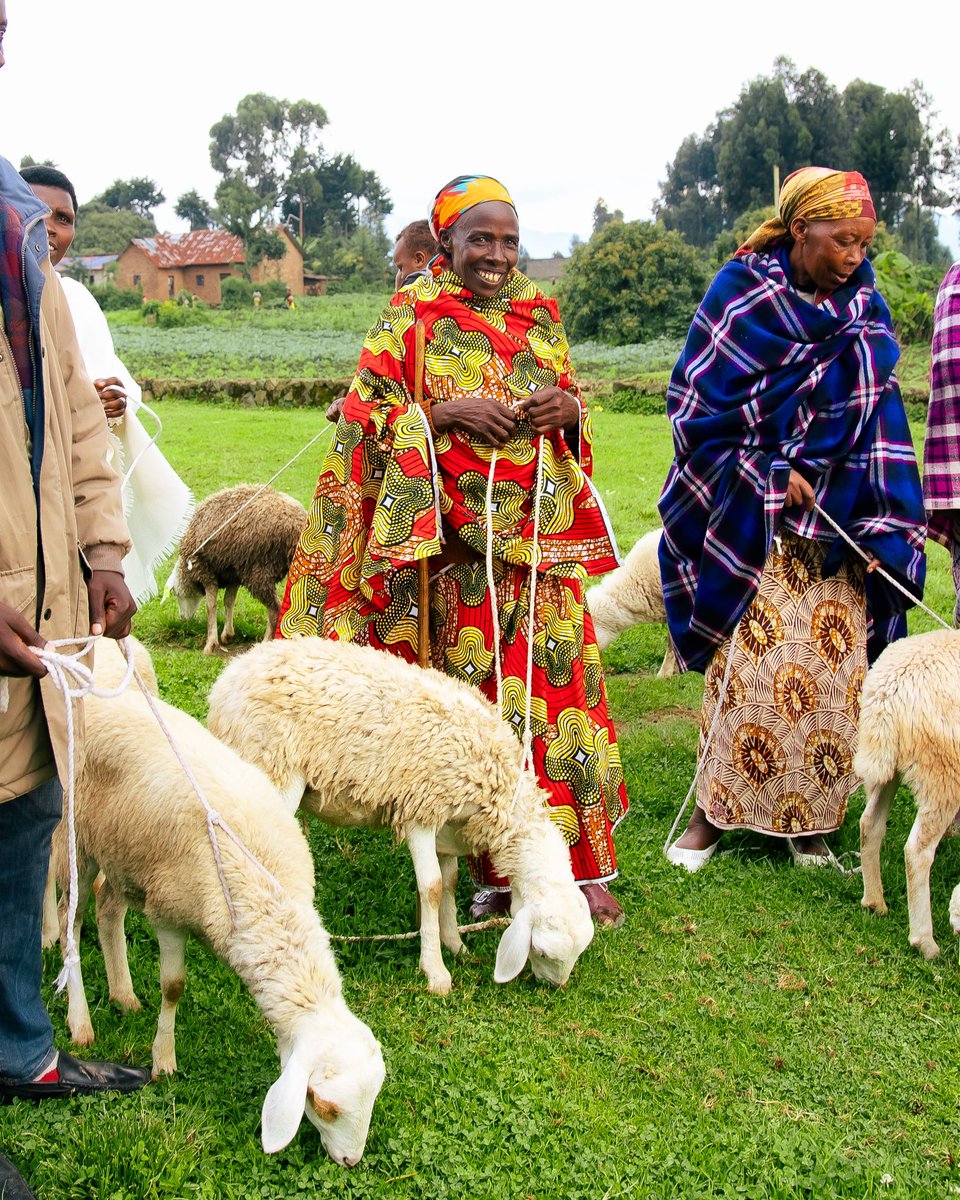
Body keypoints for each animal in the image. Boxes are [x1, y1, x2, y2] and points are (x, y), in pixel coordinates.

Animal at [51, 643, 386, 1166]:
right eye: (324, 1105)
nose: (351, 1161)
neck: (265, 888)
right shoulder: (169, 912)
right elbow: (174, 987)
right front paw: (164, 1060)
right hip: (79, 838)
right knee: (73, 920)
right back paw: (81, 1021)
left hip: (127, 853)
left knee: (108, 909)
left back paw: (123, 994)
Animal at [207, 638, 595, 993]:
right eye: (542, 951)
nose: (555, 987)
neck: (496, 779)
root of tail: (225, 684)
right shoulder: (419, 809)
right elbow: (432, 887)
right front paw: (435, 971)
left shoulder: (448, 825)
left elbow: (449, 882)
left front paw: (456, 945)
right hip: (272, 770)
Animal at [854, 628, 960, 955]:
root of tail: (888, 688)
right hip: (943, 774)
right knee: (917, 852)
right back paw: (925, 942)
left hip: (891, 768)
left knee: (870, 824)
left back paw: (875, 902)